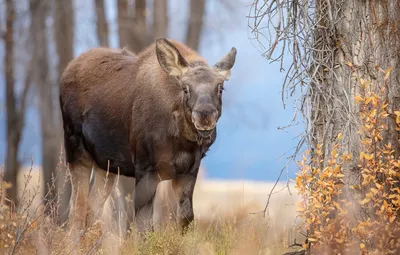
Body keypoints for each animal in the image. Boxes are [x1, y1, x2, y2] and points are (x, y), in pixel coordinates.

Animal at [57, 38, 236, 233]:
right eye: (185, 88)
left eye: (220, 88)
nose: (205, 115)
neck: (181, 142)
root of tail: (66, 71)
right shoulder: (145, 169)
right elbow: (144, 225)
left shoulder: (188, 171)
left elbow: (185, 218)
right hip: (76, 153)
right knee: (77, 209)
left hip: (105, 165)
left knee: (92, 207)